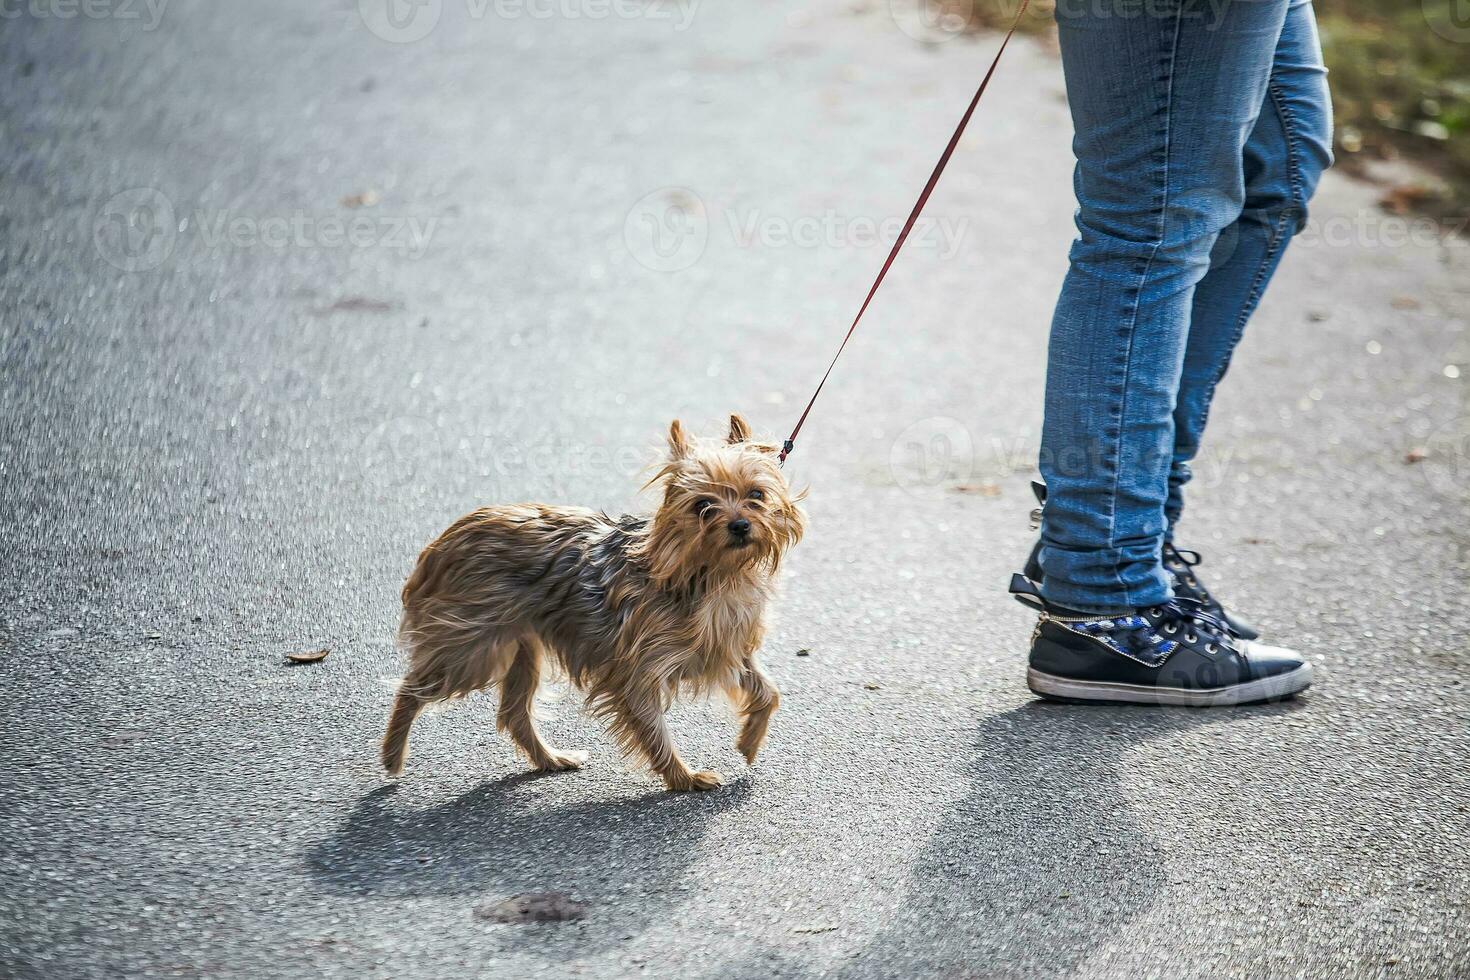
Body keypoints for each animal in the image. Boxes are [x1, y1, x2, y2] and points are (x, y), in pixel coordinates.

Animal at [379, 411, 811, 787]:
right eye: (703, 506)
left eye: (756, 495)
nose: (740, 525)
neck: (714, 575)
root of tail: (444, 541)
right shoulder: (637, 668)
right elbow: (653, 728)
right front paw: (683, 778)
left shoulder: (723, 648)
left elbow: (768, 692)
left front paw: (749, 741)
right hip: (473, 647)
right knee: (412, 689)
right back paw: (392, 755)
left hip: (522, 648)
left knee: (514, 712)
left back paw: (551, 759)